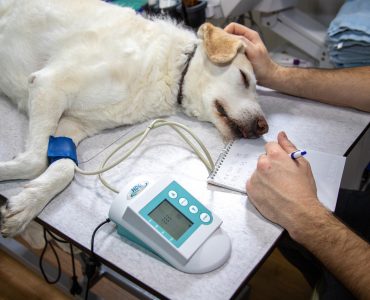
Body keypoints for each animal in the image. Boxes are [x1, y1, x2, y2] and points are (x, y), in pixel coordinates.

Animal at [0, 0, 268, 239]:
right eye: (244, 77)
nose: (264, 127)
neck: (171, 70)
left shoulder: (71, 124)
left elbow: (63, 168)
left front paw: (26, 204)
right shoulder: (49, 85)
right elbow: (36, 161)